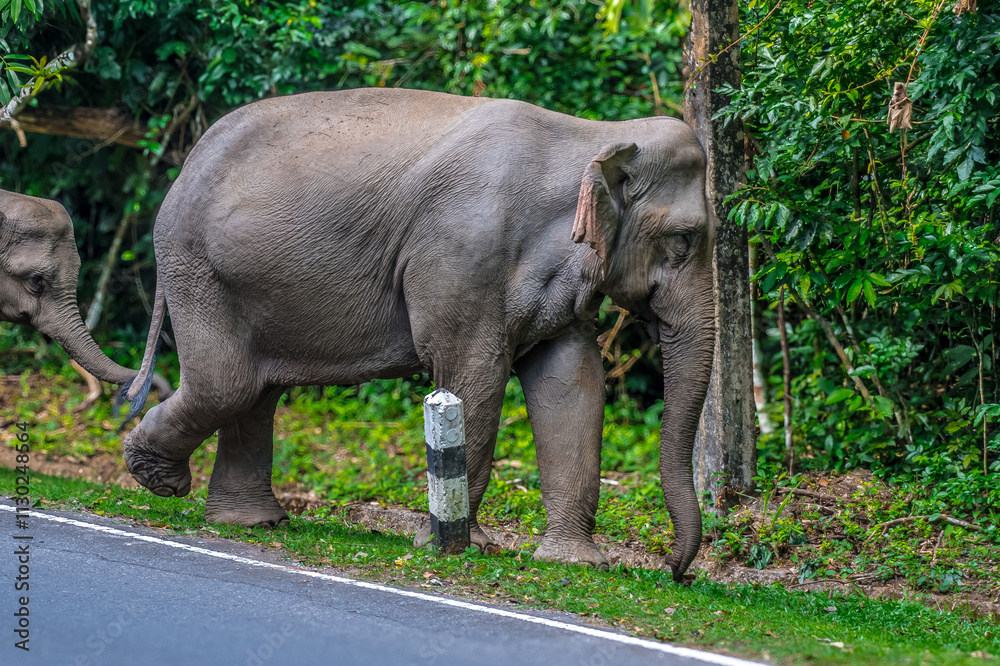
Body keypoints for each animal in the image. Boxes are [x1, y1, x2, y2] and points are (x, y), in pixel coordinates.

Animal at [111, 88, 715, 579]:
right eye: (684, 240)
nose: (674, 569)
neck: (593, 133)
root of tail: (185, 165)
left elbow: (572, 383)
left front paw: (575, 563)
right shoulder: (460, 257)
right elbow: (474, 374)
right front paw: (460, 546)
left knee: (256, 390)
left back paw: (249, 523)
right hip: (198, 268)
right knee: (228, 383)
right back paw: (159, 478)